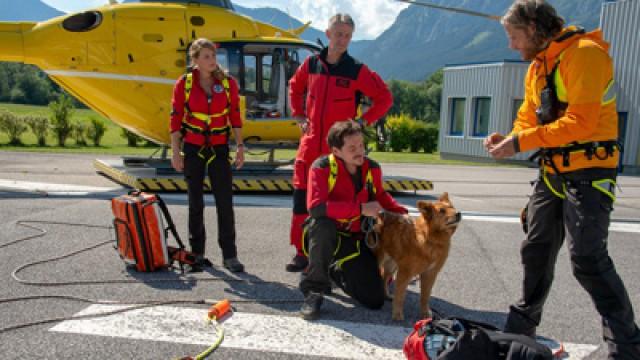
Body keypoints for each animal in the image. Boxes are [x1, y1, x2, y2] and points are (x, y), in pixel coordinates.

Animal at [370, 193, 460, 322]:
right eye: (442, 211)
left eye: (452, 207)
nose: (458, 214)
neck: (430, 239)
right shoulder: (405, 273)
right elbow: (400, 295)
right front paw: (397, 314)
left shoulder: (430, 274)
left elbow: (425, 297)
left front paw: (425, 314)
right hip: (380, 259)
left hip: (392, 265)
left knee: (385, 278)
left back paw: (386, 295)